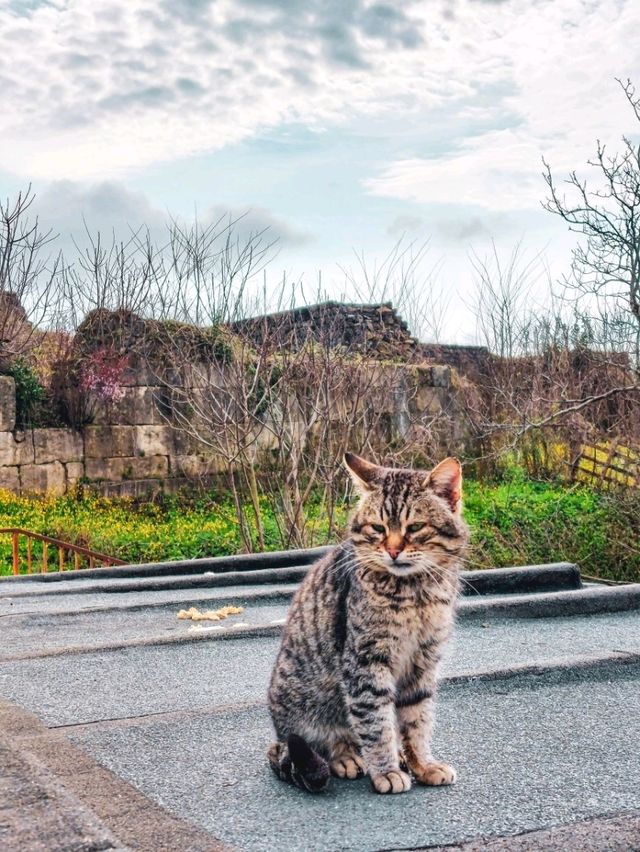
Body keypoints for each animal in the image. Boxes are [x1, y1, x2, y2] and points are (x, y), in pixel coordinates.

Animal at [268, 456, 468, 796]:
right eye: (378, 528)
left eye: (415, 527)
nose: (393, 550)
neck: (415, 593)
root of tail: (277, 738)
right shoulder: (366, 662)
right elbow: (376, 723)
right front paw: (386, 770)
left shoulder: (423, 662)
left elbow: (417, 721)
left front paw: (422, 764)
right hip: (305, 707)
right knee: (322, 742)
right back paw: (348, 757)